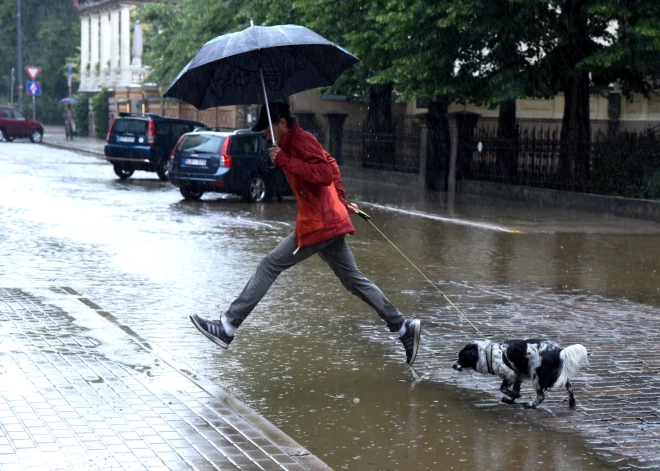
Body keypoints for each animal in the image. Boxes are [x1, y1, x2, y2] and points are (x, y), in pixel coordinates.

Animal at [454, 340, 588, 410]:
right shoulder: (516, 376)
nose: (453, 365)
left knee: (541, 396)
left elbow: (504, 388)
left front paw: (514, 396)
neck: (487, 354)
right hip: (561, 377)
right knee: (570, 389)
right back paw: (572, 404)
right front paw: (510, 399)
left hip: (535, 375)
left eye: (461, 357)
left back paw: (530, 405)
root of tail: (559, 351)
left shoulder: (509, 374)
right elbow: (515, 389)